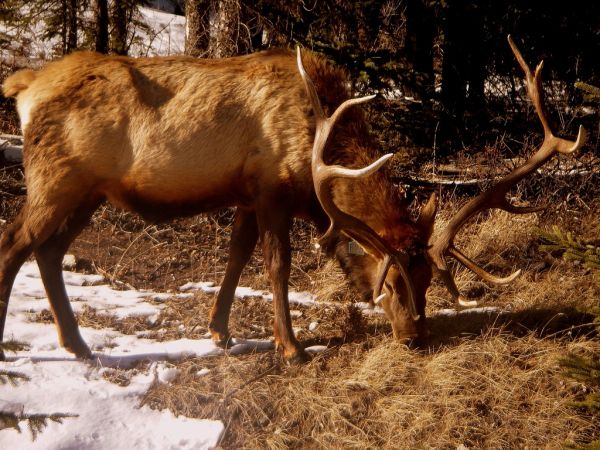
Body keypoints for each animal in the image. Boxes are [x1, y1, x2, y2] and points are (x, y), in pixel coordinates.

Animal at [0, 37, 580, 364]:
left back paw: (76, 343)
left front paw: (219, 331)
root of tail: (24, 85)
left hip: (86, 192)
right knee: (14, 243)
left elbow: (235, 257)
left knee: (48, 252)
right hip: (56, 179)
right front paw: (291, 346)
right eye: (391, 283)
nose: (415, 337)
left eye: (427, 280)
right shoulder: (271, 190)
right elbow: (276, 266)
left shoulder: (245, 197)